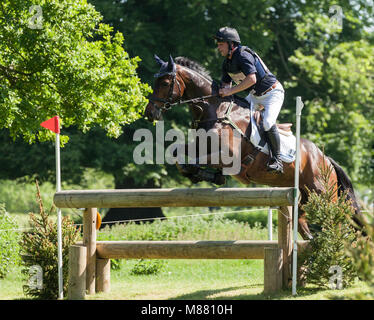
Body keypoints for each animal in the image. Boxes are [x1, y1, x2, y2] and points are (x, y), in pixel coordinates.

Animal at [145, 55, 360, 240]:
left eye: (165, 83)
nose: (150, 113)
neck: (214, 110)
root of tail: (325, 159)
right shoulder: (199, 146)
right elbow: (178, 155)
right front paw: (206, 176)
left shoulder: (228, 156)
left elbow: (195, 162)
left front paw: (207, 174)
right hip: (304, 198)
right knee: (305, 228)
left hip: (323, 194)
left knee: (337, 222)